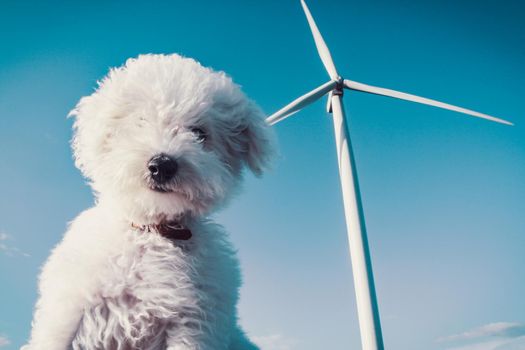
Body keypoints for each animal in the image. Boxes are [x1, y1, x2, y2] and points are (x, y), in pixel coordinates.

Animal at [23, 53, 274, 348]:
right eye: (140, 122)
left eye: (199, 133)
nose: (162, 165)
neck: (151, 231)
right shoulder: (70, 310)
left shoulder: (193, 325)